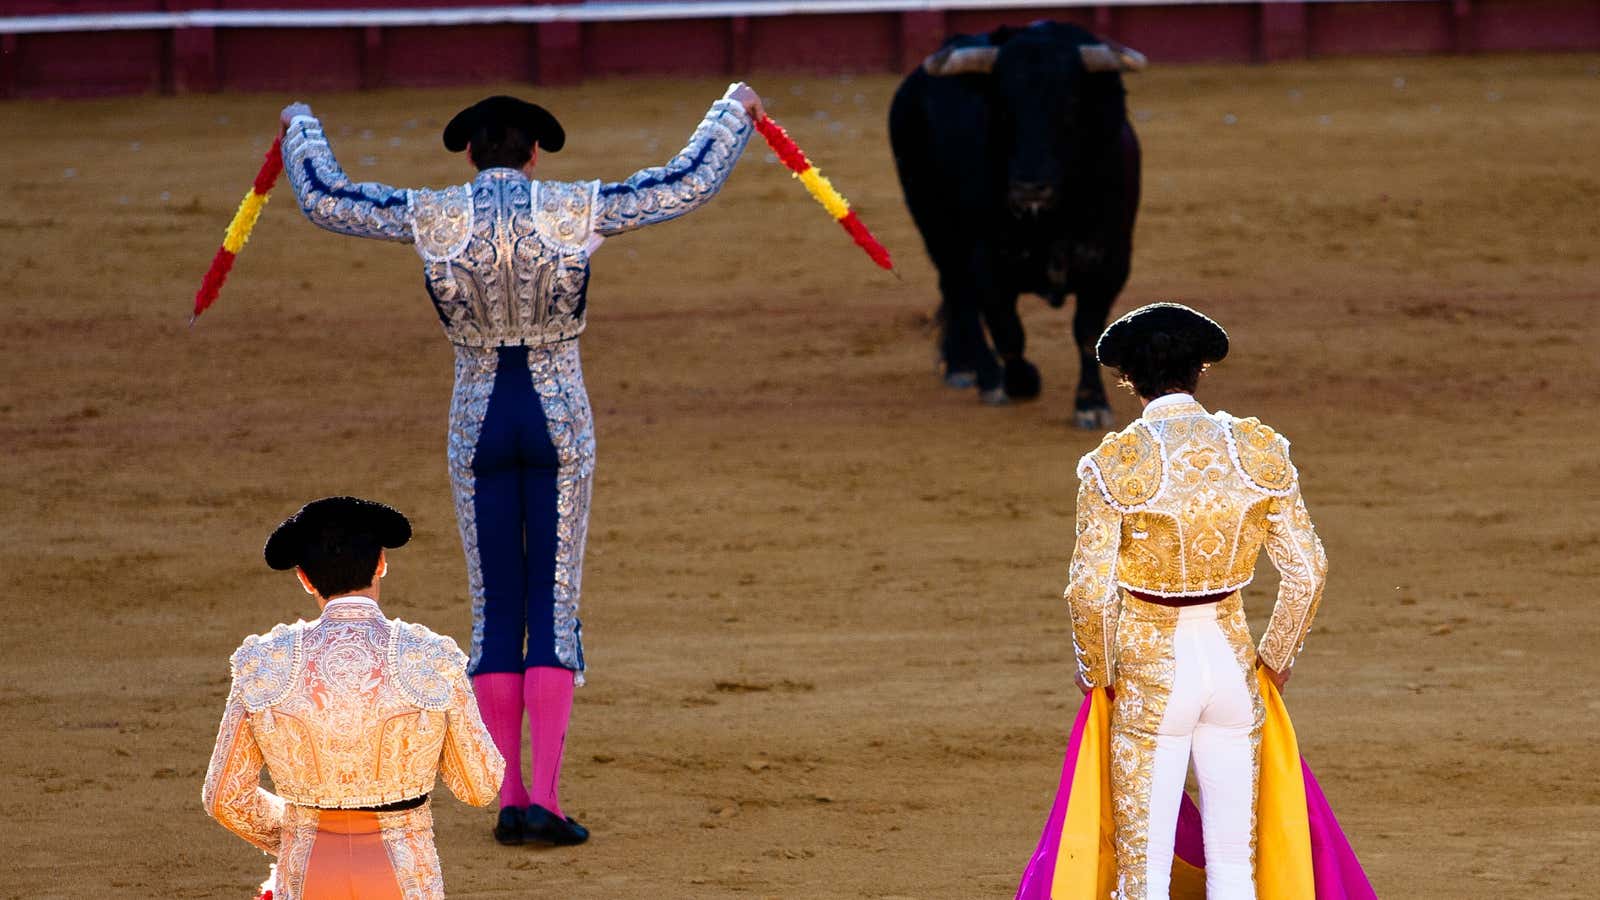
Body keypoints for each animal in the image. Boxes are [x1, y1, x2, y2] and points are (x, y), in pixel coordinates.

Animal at [889, 21, 1139, 425]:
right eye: (1004, 107)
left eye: (1071, 104)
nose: (1029, 186)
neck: (1053, 219)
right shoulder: (988, 263)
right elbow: (1009, 331)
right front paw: (1021, 381)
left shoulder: (1109, 263)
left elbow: (1087, 332)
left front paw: (1091, 403)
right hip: (934, 225)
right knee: (958, 291)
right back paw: (979, 373)